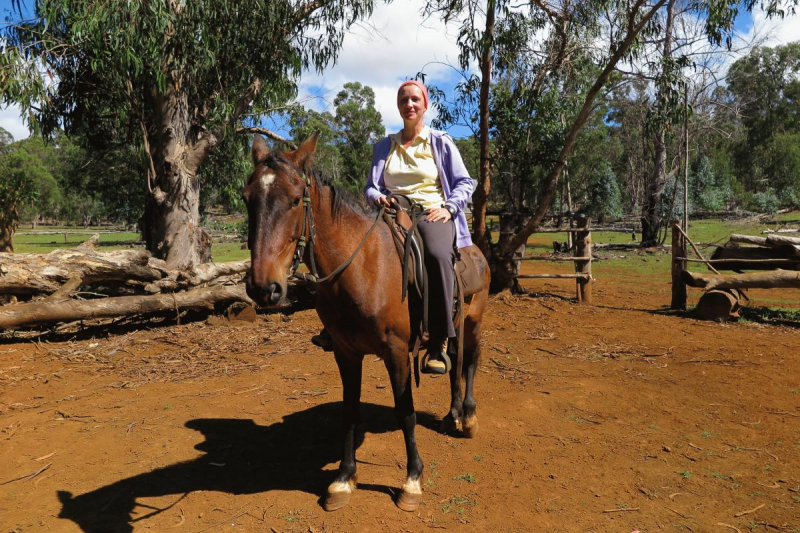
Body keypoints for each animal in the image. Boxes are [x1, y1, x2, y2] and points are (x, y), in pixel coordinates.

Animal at [247, 132, 490, 512]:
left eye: (294, 200)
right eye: (247, 199)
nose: (263, 288)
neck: (362, 267)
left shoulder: (396, 351)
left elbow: (405, 411)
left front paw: (412, 481)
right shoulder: (345, 352)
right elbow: (350, 412)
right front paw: (344, 479)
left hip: (474, 323)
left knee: (470, 363)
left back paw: (468, 417)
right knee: (452, 362)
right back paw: (452, 414)